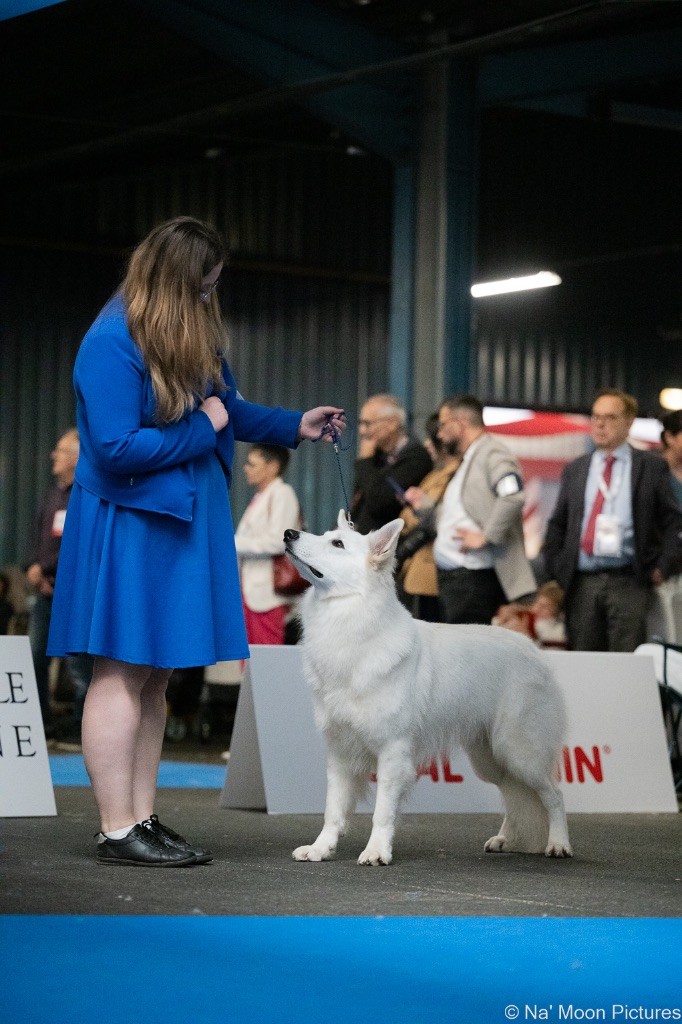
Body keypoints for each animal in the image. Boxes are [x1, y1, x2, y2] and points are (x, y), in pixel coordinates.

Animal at [284, 512, 569, 864]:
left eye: (337, 543)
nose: (289, 533)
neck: (351, 617)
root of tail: (535, 650)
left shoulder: (393, 751)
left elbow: (382, 812)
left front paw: (376, 852)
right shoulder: (340, 751)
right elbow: (332, 810)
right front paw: (321, 848)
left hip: (520, 752)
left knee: (553, 795)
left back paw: (558, 844)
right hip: (491, 761)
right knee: (515, 796)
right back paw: (505, 839)